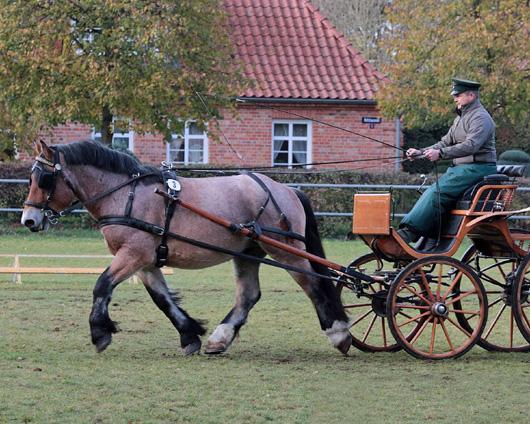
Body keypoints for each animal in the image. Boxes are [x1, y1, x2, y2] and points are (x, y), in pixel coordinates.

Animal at [21, 141, 350, 356]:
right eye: (32, 177)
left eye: (45, 178)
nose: (29, 220)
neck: (126, 195)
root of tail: (286, 189)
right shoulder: (146, 261)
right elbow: (162, 300)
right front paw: (189, 334)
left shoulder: (133, 254)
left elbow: (102, 285)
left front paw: (99, 332)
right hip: (250, 251)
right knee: (248, 295)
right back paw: (220, 339)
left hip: (287, 250)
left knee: (314, 284)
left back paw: (338, 333)